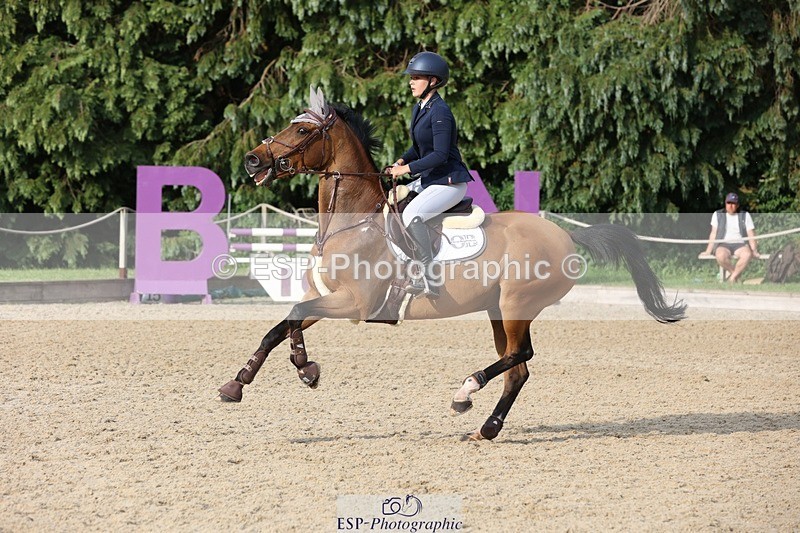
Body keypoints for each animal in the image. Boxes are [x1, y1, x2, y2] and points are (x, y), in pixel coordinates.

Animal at [218, 86, 686, 441]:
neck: (354, 221)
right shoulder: (332, 297)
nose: (253, 160)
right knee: (518, 368)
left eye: (301, 129)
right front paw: (273, 376)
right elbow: (285, 323)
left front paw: (288, 373)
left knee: (521, 355)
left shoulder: (354, 302)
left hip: (517, 305)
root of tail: (565, 235)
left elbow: (292, 316)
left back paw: (466, 391)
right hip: (498, 309)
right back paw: (487, 427)